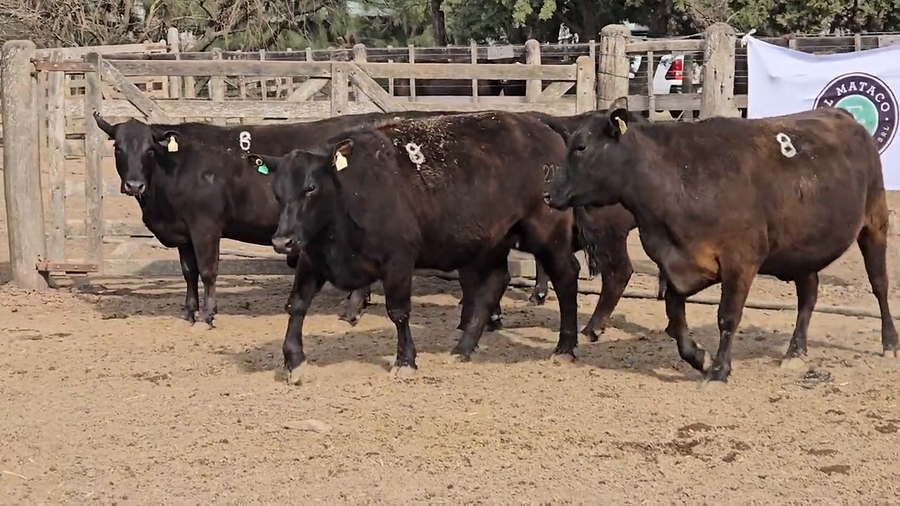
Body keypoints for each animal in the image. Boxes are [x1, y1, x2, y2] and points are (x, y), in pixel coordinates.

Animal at [92, 110, 445, 328]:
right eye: (118, 148)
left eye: (149, 150)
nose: (134, 185)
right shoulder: (183, 231)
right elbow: (189, 273)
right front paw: (189, 312)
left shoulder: (205, 226)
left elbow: (207, 271)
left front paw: (208, 314)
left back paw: (350, 310)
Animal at [251, 111, 585, 384]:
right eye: (278, 192)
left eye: (311, 188)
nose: (282, 241)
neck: (350, 193)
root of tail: (541, 128)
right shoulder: (311, 258)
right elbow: (297, 304)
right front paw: (293, 361)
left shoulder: (398, 261)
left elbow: (398, 312)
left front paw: (405, 361)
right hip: (492, 242)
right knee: (494, 284)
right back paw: (463, 348)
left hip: (547, 232)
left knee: (566, 276)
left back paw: (564, 348)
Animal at [544, 106, 898, 386]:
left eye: (581, 146)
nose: (549, 194)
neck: (679, 179)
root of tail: (843, 115)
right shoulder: (679, 262)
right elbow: (674, 313)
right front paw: (698, 356)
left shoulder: (740, 261)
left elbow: (727, 316)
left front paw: (718, 370)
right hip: (801, 250)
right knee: (808, 295)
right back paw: (795, 352)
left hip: (875, 221)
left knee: (879, 284)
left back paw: (890, 342)